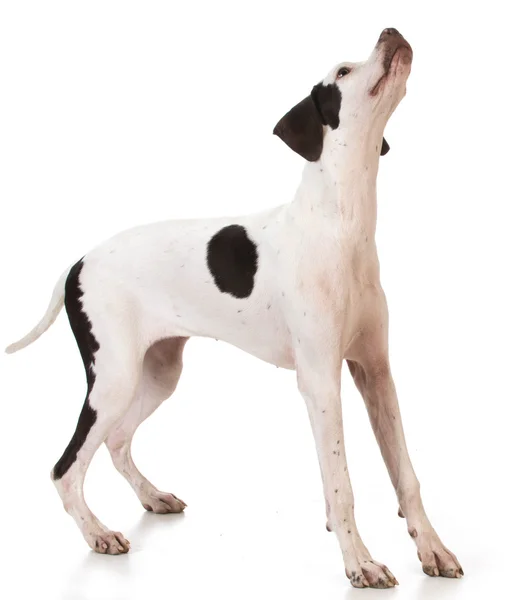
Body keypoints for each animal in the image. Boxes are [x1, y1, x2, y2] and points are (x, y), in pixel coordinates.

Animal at [7, 27, 464, 584]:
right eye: (343, 72)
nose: (390, 31)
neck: (341, 225)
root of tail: (76, 263)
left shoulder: (375, 372)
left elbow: (406, 475)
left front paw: (432, 549)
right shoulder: (321, 382)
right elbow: (341, 485)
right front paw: (360, 563)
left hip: (157, 374)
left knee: (116, 442)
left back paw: (152, 496)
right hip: (113, 380)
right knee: (65, 468)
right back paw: (98, 533)